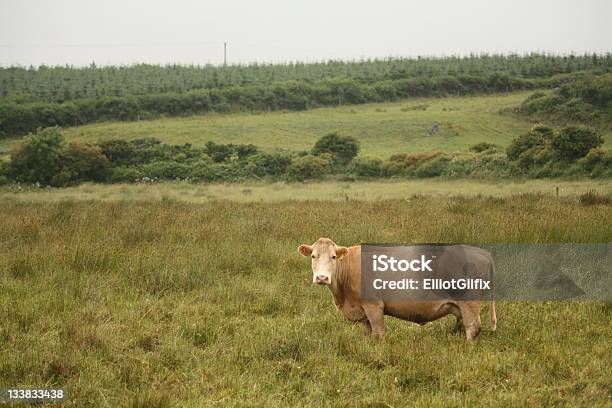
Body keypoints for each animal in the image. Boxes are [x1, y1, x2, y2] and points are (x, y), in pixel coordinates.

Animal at [298, 236, 498, 342]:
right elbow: (368, 334)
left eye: (333, 256)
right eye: (313, 256)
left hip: (469, 302)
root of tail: (482, 252)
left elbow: (379, 334)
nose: (322, 277)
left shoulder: (374, 307)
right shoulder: (363, 312)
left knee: (473, 327)